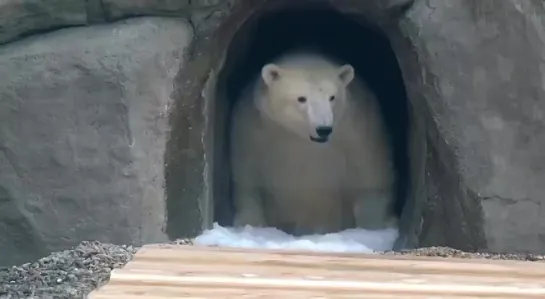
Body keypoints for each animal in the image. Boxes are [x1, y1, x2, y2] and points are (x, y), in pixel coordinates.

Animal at [227, 50, 398, 236]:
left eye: (332, 97)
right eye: (301, 98)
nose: (323, 129)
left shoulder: (356, 132)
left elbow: (370, 181)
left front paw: (371, 228)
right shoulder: (255, 132)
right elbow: (248, 181)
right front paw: (250, 224)